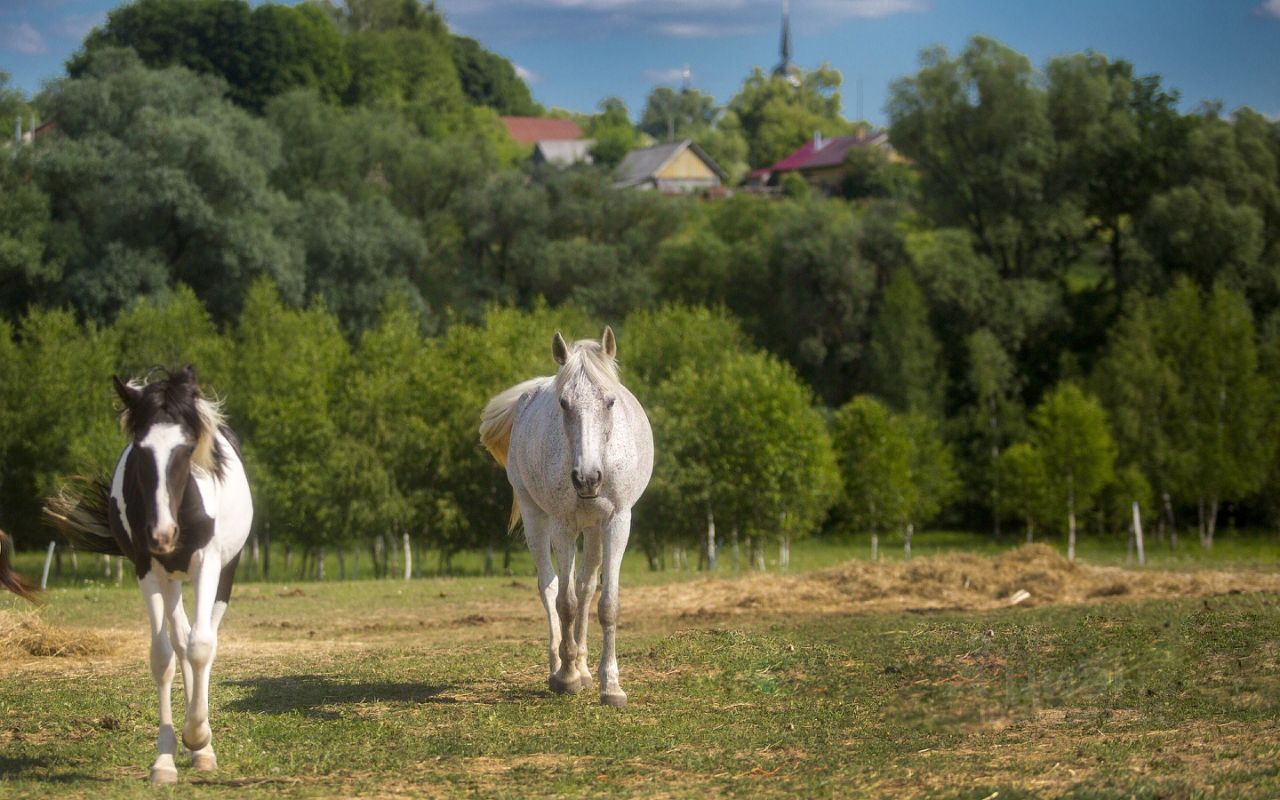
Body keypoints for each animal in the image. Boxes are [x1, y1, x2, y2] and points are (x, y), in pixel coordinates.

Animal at [44, 365, 253, 784]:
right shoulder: (147, 569)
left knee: (203, 639)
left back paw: (202, 747)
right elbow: (163, 657)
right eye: (140, 451)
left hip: (223, 573)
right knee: (180, 638)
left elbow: (202, 646)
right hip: (169, 578)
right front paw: (165, 759)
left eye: (187, 448)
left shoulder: (207, 563)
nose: (162, 534)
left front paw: (198, 737)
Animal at [480, 327, 653, 707]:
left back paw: (585, 667)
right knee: (549, 586)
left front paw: (610, 685)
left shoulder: (617, 522)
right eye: (563, 403)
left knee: (586, 588)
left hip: (592, 529)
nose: (587, 478)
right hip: (537, 519)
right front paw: (567, 675)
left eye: (610, 401)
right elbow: (565, 602)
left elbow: (605, 602)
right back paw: (559, 665)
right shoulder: (562, 524)